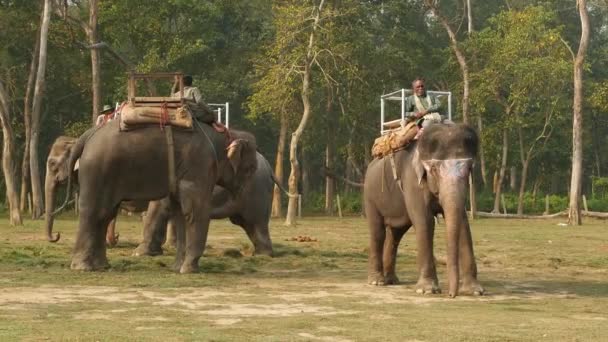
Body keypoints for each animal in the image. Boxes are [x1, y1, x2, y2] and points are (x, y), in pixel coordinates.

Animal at [57, 119, 256, 274]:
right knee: (94, 212)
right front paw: (190, 270)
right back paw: (83, 267)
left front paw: (177, 268)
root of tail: (86, 136)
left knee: (105, 214)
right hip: (98, 169)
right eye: (251, 168)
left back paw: (100, 266)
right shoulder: (199, 165)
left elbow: (180, 212)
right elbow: (194, 211)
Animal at [134, 151, 278, 258]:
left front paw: (139, 253)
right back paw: (259, 254)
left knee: (255, 222)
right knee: (246, 223)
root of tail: (269, 167)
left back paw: (261, 255)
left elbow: (158, 209)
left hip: (255, 192)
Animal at [364, 123, 482, 296]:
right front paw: (427, 290)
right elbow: (424, 221)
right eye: (434, 170)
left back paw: (391, 280)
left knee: (396, 233)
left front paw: (474, 291)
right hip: (370, 196)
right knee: (377, 231)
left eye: (468, 170)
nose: (451, 294)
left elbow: (463, 222)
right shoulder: (412, 181)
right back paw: (377, 281)